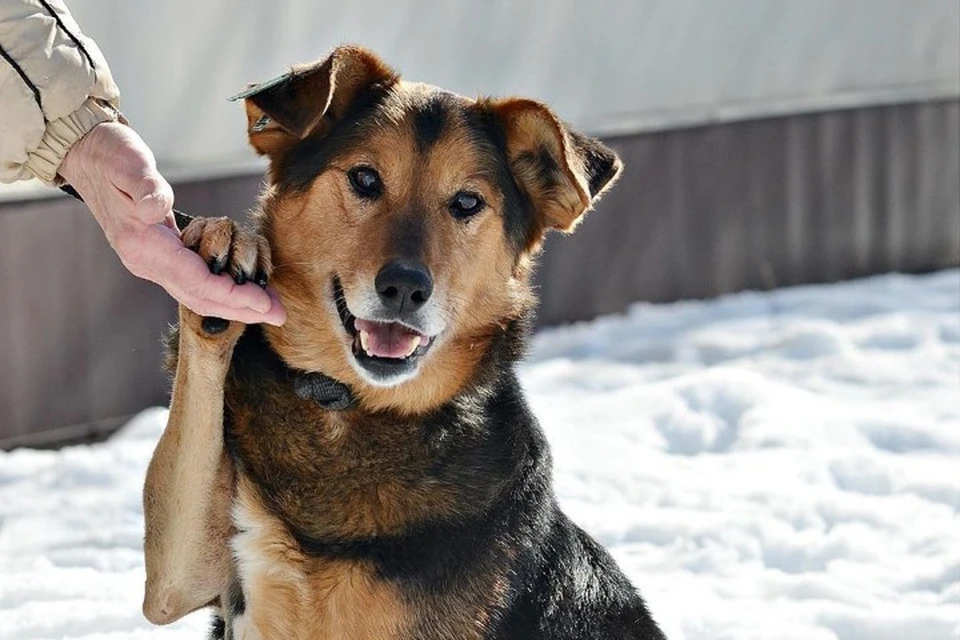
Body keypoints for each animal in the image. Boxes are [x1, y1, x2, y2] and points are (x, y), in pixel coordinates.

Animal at [142, 46, 668, 640]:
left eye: (466, 202)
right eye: (366, 179)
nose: (404, 287)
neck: (352, 406)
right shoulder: (184, 578)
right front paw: (222, 254)